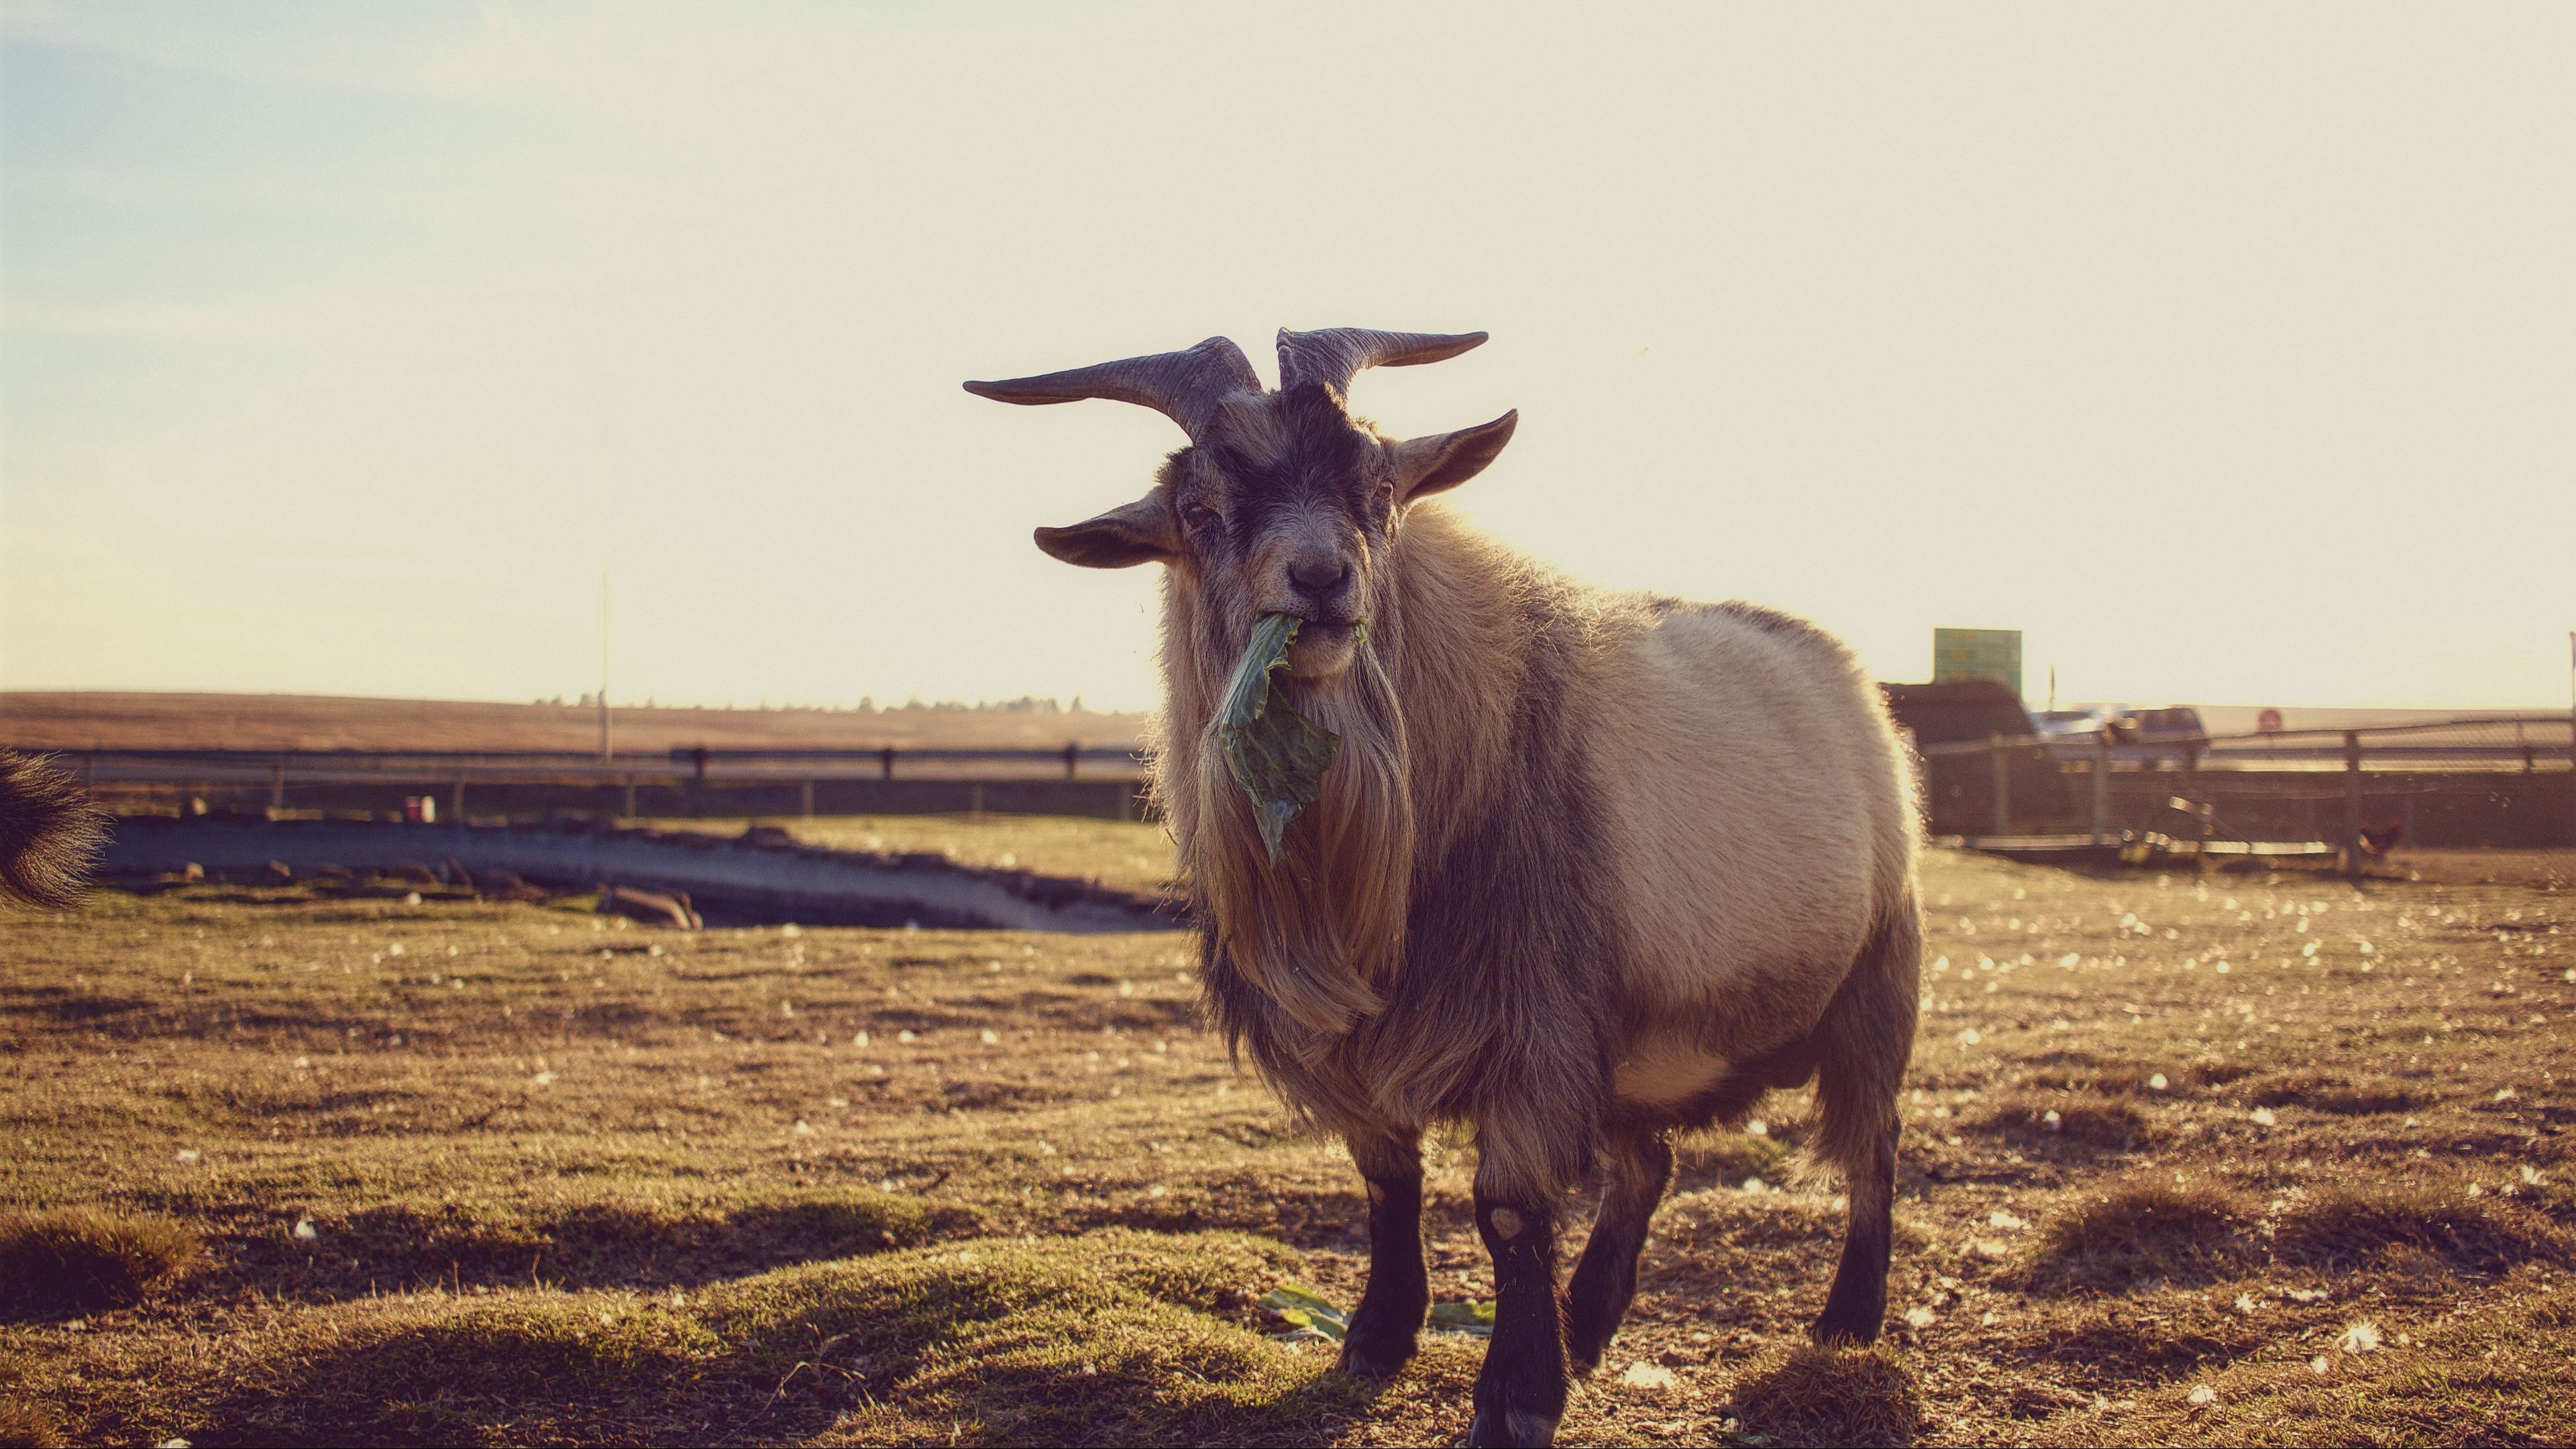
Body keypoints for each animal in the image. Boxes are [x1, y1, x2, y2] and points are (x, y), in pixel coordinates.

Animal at [969, 329, 1921, 1448]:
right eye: (1198, 510)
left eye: (1380, 485)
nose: (1322, 577)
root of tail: (1850, 678)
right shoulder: (1380, 1042)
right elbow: (1387, 1181)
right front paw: (1378, 1340)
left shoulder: (1534, 1022)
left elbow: (1507, 1208)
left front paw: (1517, 1395)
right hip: (1639, 1033)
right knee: (1648, 1165)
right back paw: (1591, 1322)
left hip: (1874, 981)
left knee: (1873, 1148)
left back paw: (1847, 1319)